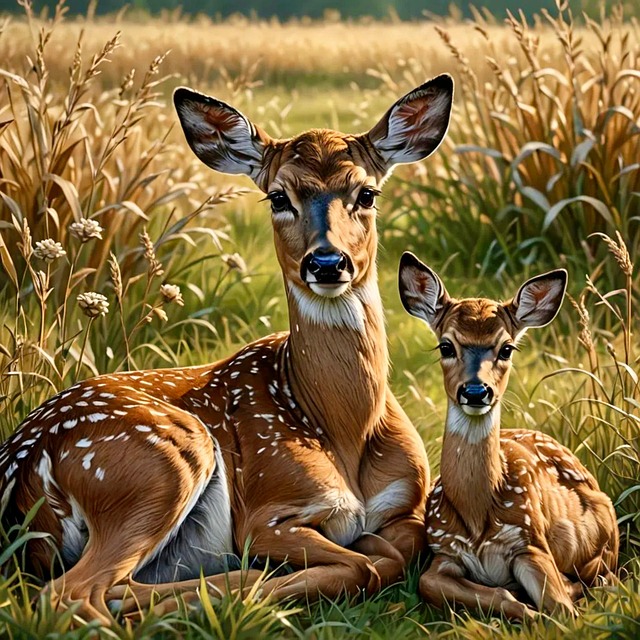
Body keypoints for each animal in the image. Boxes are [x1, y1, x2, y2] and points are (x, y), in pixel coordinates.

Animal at [0, 75, 454, 625]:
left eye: (367, 192)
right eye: (278, 197)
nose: (327, 263)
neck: (344, 428)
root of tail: (21, 469)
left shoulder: (408, 503)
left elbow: (393, 552)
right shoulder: (270, 511)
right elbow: (363, 566)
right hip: (159, 463)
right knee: (73, 595)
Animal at [398, 252, 619, 620]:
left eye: (507, 348)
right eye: (445, 345)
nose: (476, 391)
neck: (477, 520)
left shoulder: (530, 541)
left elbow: (561, 609)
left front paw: (559, 601)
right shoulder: (443, 549)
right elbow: (430, 584)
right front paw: (525, 606)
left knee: (605, 575)